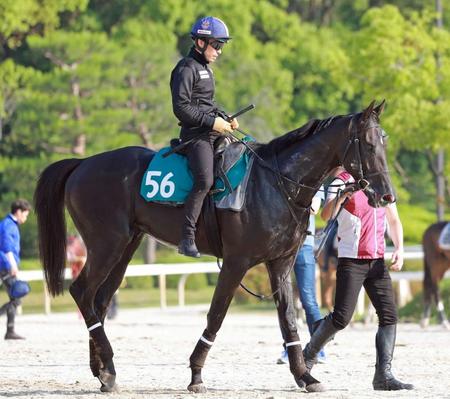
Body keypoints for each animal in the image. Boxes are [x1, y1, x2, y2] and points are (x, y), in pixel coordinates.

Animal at [34, 100, 394, 394]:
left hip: (125, 247)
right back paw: (107, 366)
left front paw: (304, 375)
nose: (387, 195)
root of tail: (83, 164)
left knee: (99, 300)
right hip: (106, 244)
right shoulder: (237, 262)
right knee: (82, 291)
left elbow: (289, 319)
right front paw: (196, 374)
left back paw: (103, 371)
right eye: (367, 143)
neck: (276, 182)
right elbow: (217, 315)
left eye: (385, 142)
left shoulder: (280, 263)